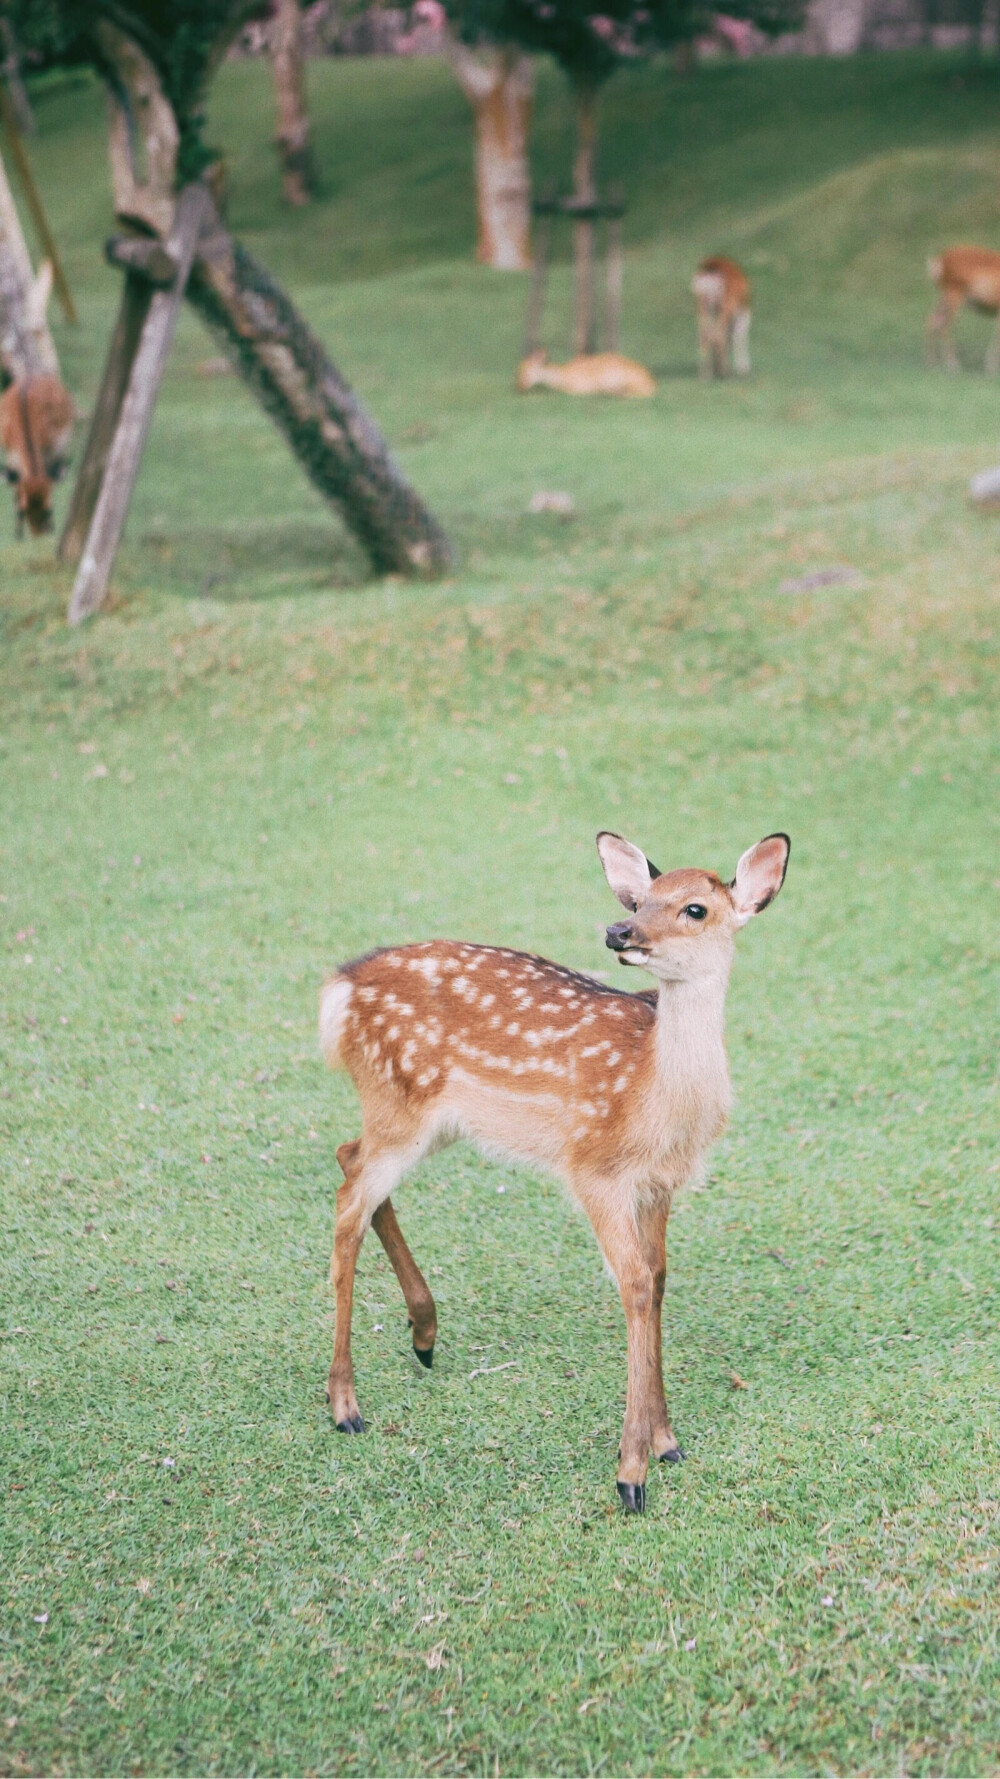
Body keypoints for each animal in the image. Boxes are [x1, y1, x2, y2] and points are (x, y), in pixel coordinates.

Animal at [0, 373, 73, 533]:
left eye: (48, 510)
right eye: (22, 511)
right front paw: (18, 532)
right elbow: (15, 484)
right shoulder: (10, 453)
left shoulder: (50, 449)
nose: (39, 534)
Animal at [318, 825, 786, 1508]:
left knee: (349, 1161)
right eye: (640, 899)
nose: (619, 931)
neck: (655, 1099)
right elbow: (634, 1285)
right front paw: (631, 1473)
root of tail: (340, 987)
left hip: (423, 1120)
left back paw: (424, 1336)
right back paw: (345, 1406)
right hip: (398, 1103)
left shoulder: (660, 1184)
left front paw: (667, 1443)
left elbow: (658, 1280)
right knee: (348, 1204)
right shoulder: (593, 1167)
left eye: (695, 909)